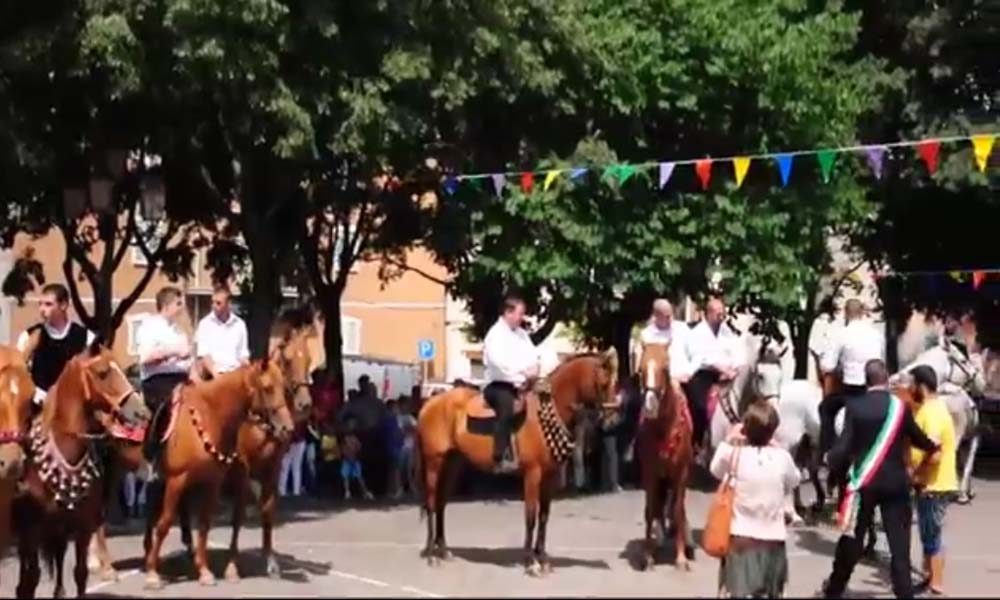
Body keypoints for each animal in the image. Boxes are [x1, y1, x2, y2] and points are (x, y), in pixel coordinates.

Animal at [12, 342, 148, 600]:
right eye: (103, 373)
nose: (142, 413)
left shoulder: (81, 526)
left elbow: (80, 573)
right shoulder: (34, 531)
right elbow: (30, 580)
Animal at [143, 358, 294, 588]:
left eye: (284, 388)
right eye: (268, 388)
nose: (287, 428)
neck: (209, 417)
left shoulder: (214, 481)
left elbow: (205, 524)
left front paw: (204, 571)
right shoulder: (178, 479)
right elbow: (165, 523)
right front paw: (153, 574)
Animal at [414, 352, 616, 576]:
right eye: (604, 383)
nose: (611, 421)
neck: (546, 413)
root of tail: (429, 404)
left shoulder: (550, 477)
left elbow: (544, 516)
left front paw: (542, 558)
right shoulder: (532, 474)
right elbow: (531, 516)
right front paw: (530, 562)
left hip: (452, 465)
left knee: (441, 504)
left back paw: (443, 550)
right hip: (434, 463)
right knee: (431, 503)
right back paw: (431, 554)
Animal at [636, 344, 692, 568]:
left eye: (665, 369)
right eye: (640, 370)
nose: (650, 406)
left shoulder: (681, 473)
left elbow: (677, 509)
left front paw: (681, 557)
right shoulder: (649, 473)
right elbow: (651, 509)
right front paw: (648, 555)